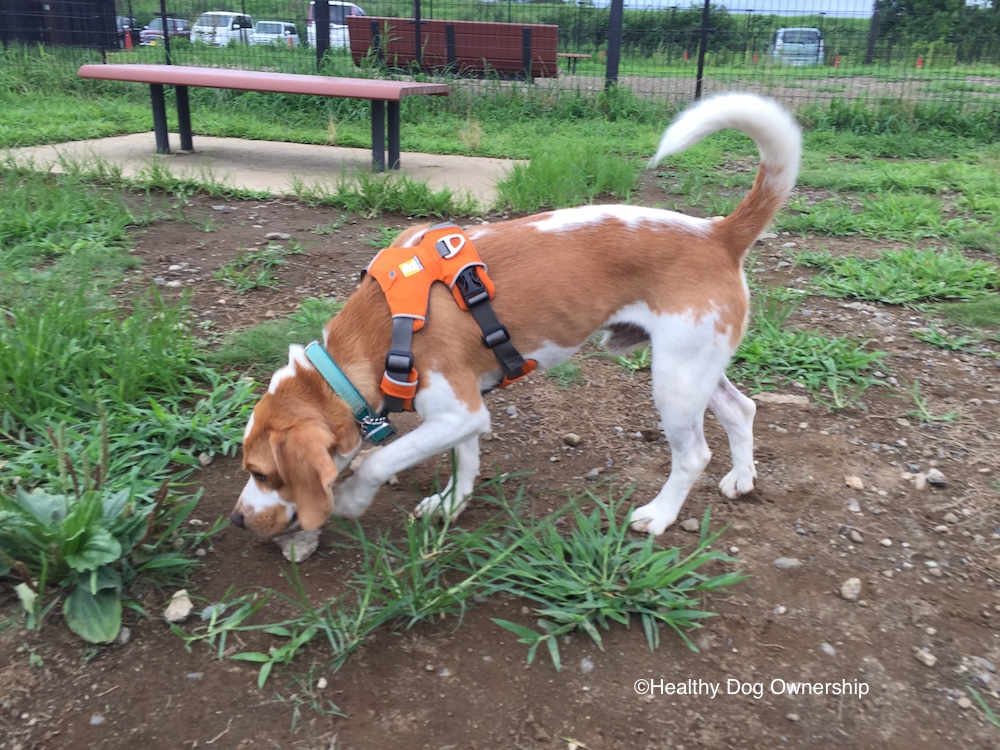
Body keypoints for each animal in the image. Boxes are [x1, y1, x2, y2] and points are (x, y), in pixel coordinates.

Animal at [230, 92, 800, 560]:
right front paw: (450, 505)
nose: (236, 520)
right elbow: (464, 464)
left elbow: (374, 462)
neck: (382, 331)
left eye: (262, 473)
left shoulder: (457, 411)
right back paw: (742, 478)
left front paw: (349, 497)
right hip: (694, 366)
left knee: (694, 454)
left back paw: (660, 515)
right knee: (741, 409)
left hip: (675, 381)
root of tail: (717, 233)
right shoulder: (460, 415)